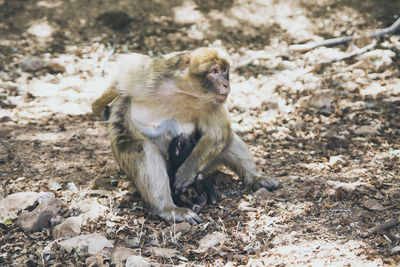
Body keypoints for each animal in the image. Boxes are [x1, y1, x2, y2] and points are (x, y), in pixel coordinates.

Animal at [94, 47, 280, 224]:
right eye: (215, 71)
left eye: (224, 71)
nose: (226, 84)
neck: (184, 92)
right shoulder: (149, 74)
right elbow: (119, 78)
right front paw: (97, 107)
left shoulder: (212, 101)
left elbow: (218, 133)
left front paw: (184, 174)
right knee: (144, 149)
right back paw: (168, 209)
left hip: (206, 165)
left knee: (227, 140)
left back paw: (254, 178)